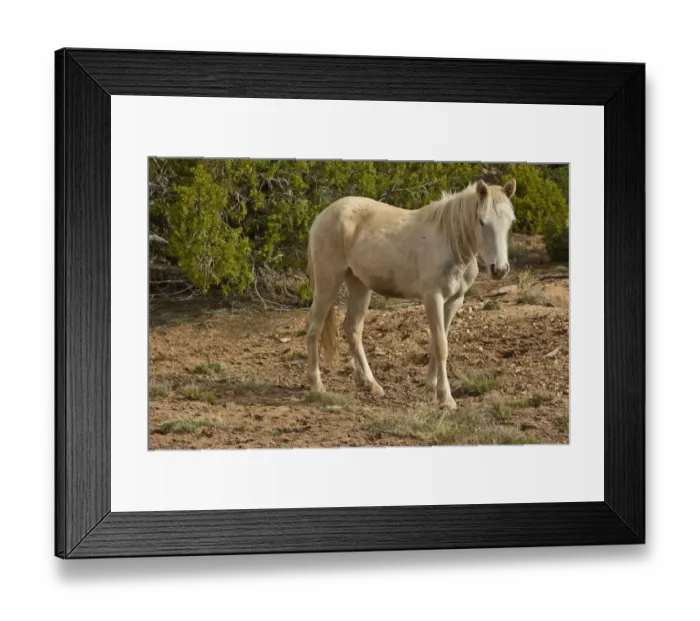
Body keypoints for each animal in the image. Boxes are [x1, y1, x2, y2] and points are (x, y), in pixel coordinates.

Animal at [306, 178, 516, 410]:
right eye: (481, 221)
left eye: (510, 222)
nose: (499, 269)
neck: (450, 242)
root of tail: (322, 215)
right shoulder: (433, 298)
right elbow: (441, 346)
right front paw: (447, 399)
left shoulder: (453, 302)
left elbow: (436, 343)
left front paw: (430, 391)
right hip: (328, 281)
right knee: (315, 327)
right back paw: (317, 385)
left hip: (359, 285)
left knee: (352, 329)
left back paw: (370, 384)